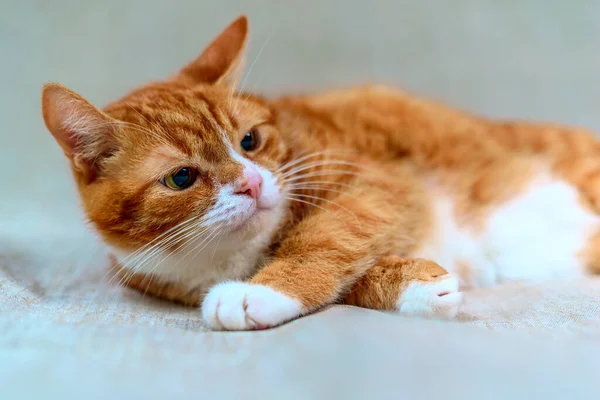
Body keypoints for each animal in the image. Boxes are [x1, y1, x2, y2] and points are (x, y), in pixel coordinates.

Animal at [39, 15, 600, 330]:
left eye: (249, 141)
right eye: (181, 178)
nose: (253, 182)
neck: (232, 256)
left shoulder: (375, 184)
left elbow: (325, 237)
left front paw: (258, 291)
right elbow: (355, 276)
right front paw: (419, 287)